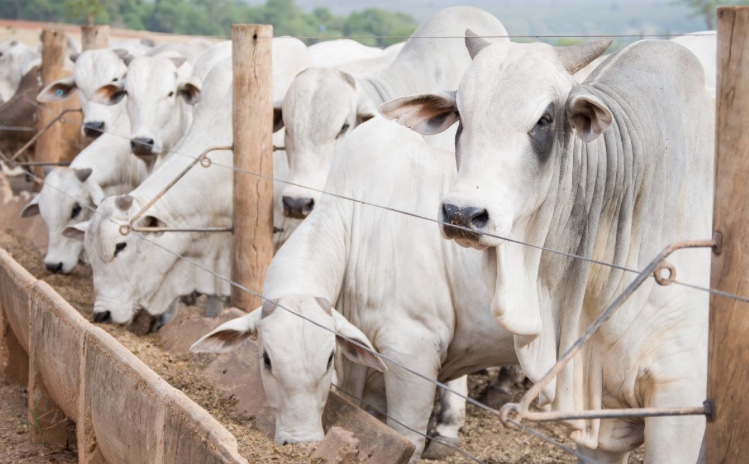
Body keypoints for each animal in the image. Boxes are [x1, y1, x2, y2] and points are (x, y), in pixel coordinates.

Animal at [193, 118, 516, 462]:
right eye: (266, 360)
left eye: (329, 359)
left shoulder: (414, 349)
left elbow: (408, 437)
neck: (357, 220)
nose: (302, 442)